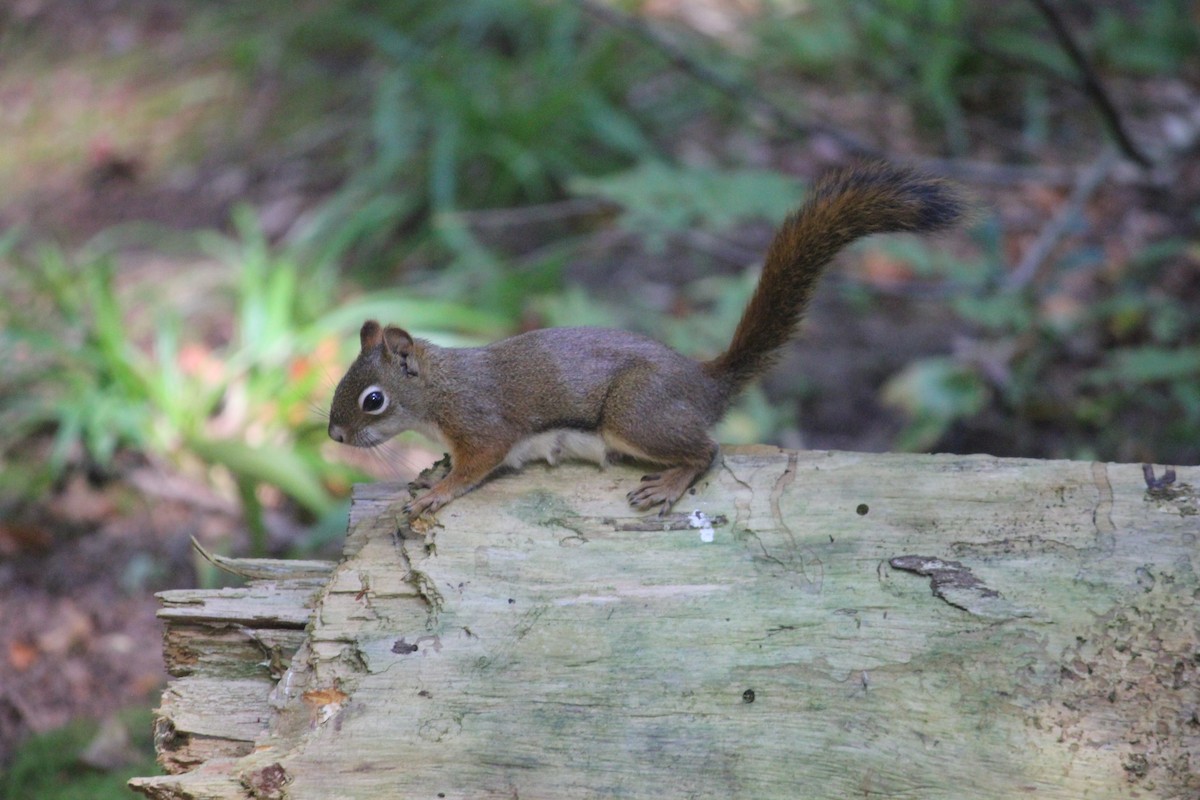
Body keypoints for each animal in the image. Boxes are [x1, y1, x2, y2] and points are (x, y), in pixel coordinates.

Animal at [328, 162, 967, 517]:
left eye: (373, 399)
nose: (334, 435)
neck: (438, 391)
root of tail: (704, 384)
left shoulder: (482, 424)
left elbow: (477, 465)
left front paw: (438, 492)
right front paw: (430, 471)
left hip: (634, 413)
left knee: (708, 451)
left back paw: (671, 482)